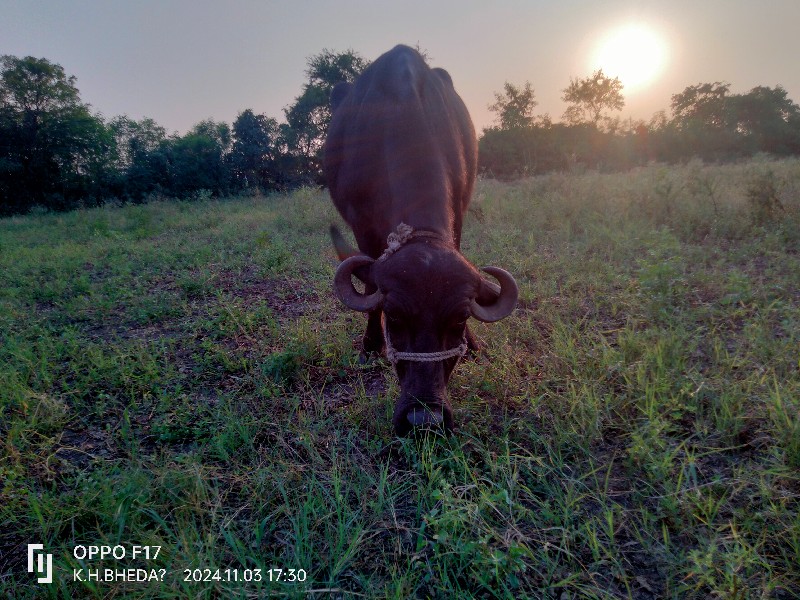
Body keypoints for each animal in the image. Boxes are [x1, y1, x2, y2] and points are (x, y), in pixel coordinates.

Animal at [324, 43, 520, 436]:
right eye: (395, 318)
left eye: (459, 321)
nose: (424, 420)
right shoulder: (362, 227)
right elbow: (370, 286)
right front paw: (370, 345)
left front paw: (473, 345)